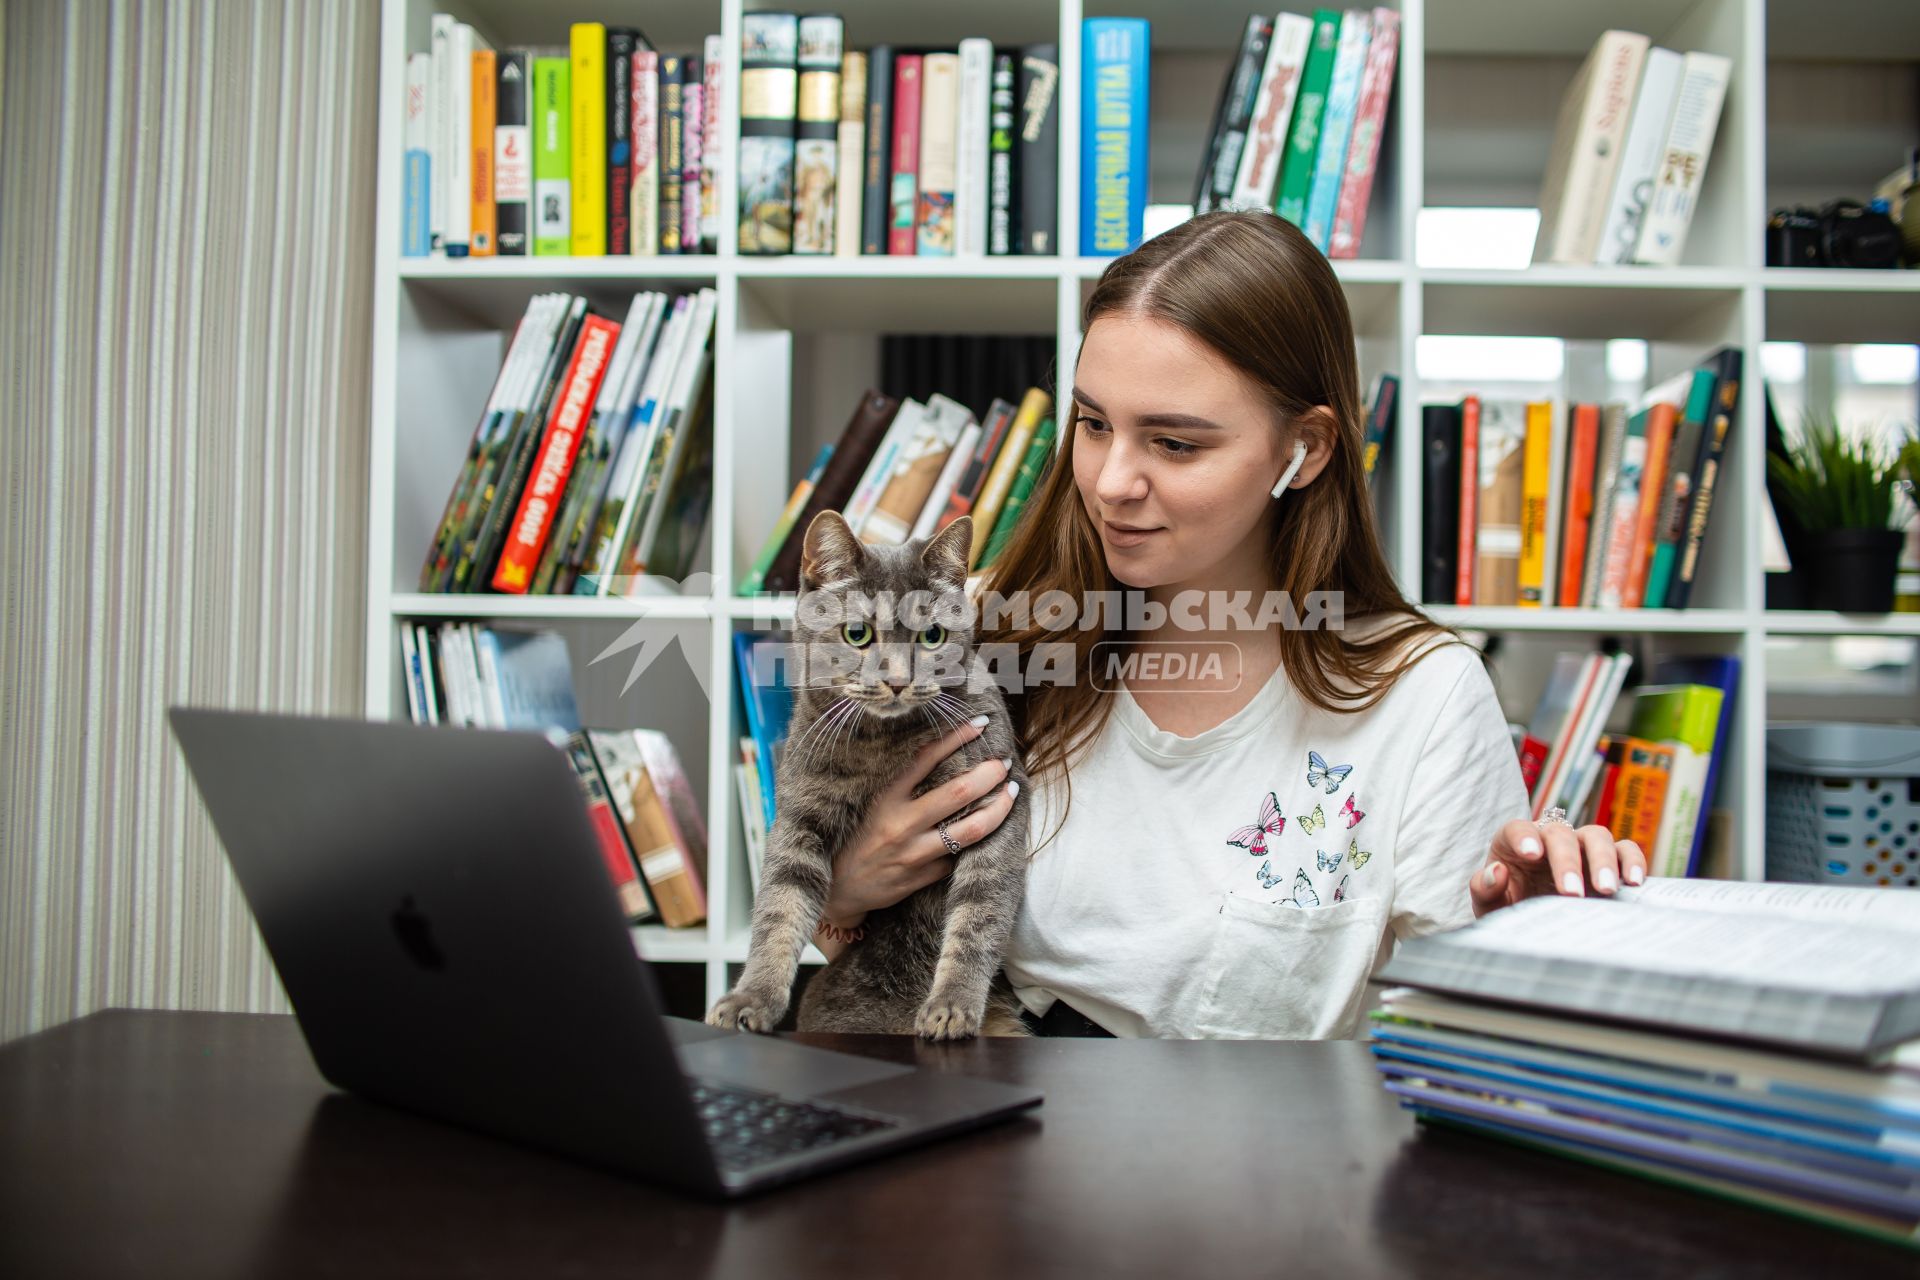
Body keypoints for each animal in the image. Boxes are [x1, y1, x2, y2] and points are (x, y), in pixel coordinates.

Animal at [710, 510, 1036, 1043]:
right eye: (858, 634)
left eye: (932, 636)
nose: (898, 680)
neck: (885, 743)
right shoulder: (799, 817)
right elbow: (778, 909)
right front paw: (750, 999)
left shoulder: (998, 801)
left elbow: (978, 913)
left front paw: (951, 1006)